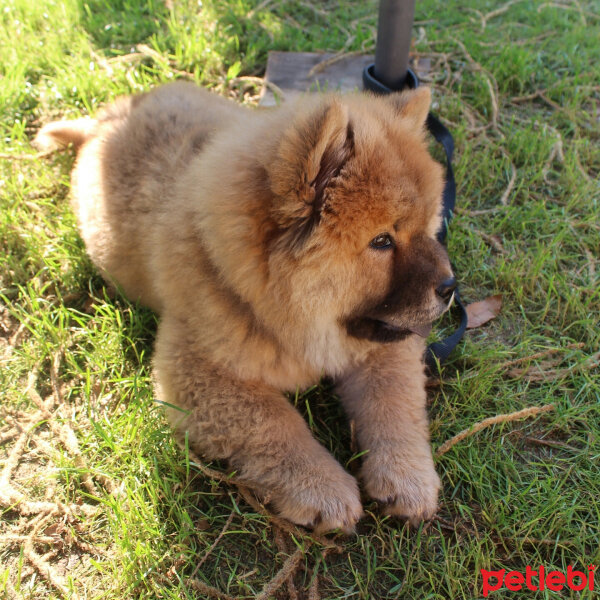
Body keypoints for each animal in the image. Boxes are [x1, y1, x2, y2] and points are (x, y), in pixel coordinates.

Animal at [35, 81, 454, 536]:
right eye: (382, 241)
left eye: (428, 226)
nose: (450, 286)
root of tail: (107, 119)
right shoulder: (196, 372)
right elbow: (274, 424)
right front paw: (323, 489)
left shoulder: (383, 341)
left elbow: (393, 404)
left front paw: (408, 478)